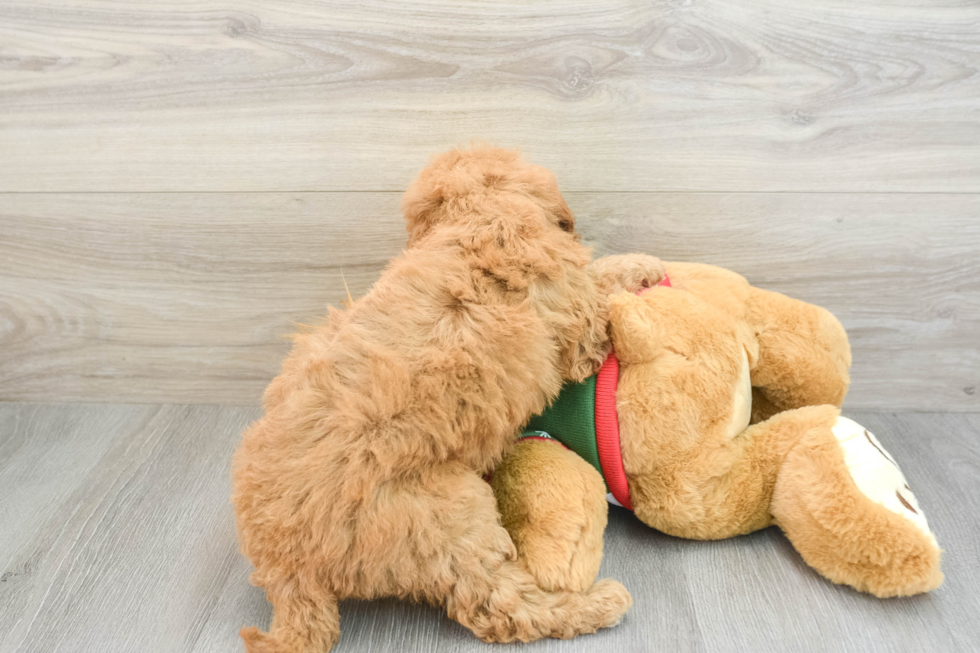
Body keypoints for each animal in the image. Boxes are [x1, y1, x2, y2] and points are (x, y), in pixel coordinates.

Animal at [233, 145, 664, 648]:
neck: (478, 216)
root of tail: (287, 568)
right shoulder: (576, 320)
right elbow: (597, 285)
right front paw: (642, 265)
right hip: (449, 516)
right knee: (500, 607)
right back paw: (597, 604)